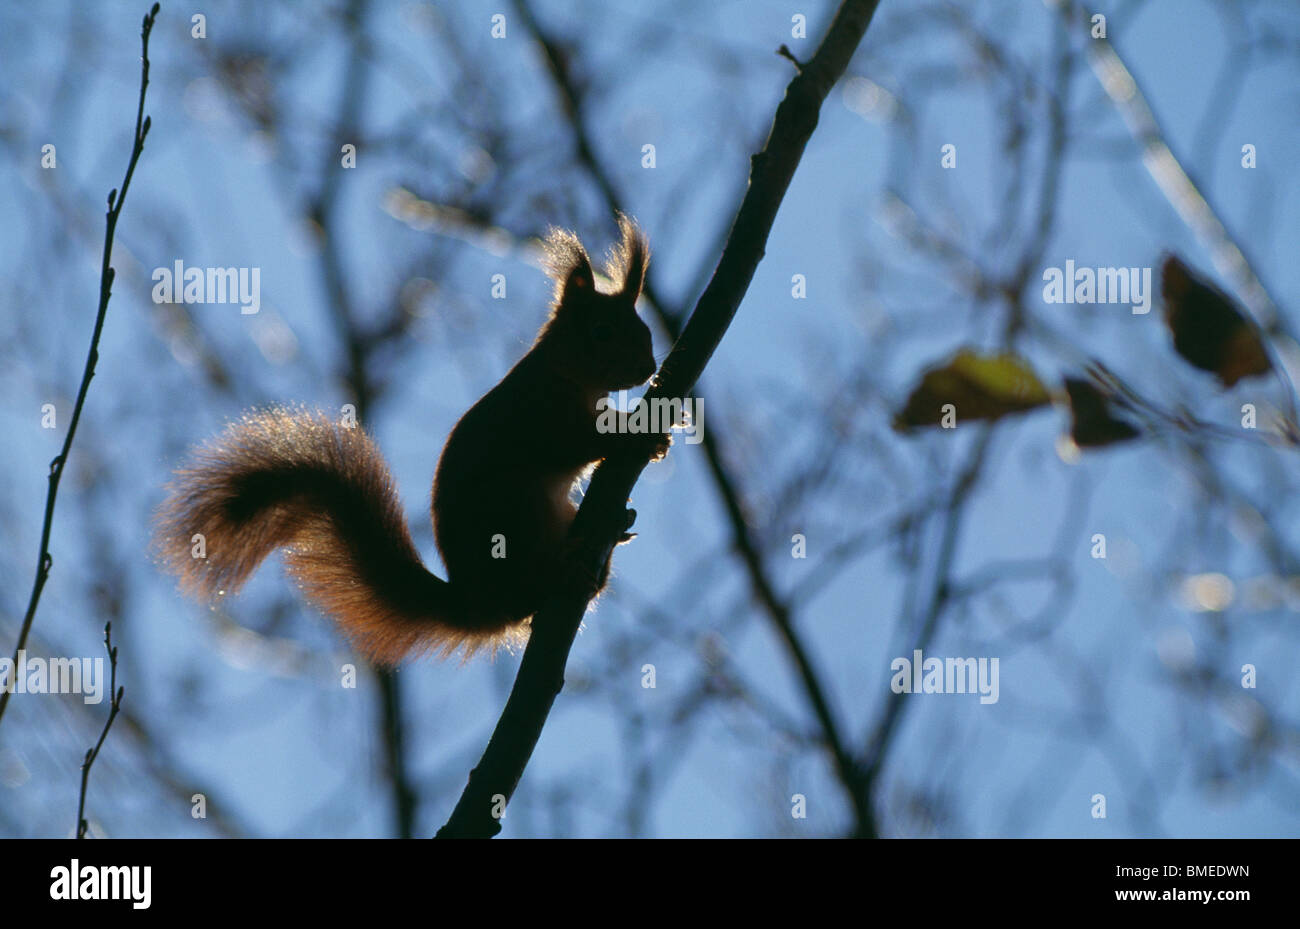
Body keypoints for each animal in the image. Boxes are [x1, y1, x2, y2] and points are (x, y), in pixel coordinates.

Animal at [154, 215, 670, 670]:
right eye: (601, 332)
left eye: (645, 331)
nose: (648, 368)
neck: (566, 376)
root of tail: (475, 604)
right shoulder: (539, 417)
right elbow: (576, 442)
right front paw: (638, 429)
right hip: (513, 517)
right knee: (530, 595)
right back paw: (564, 567)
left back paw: (611, 538)